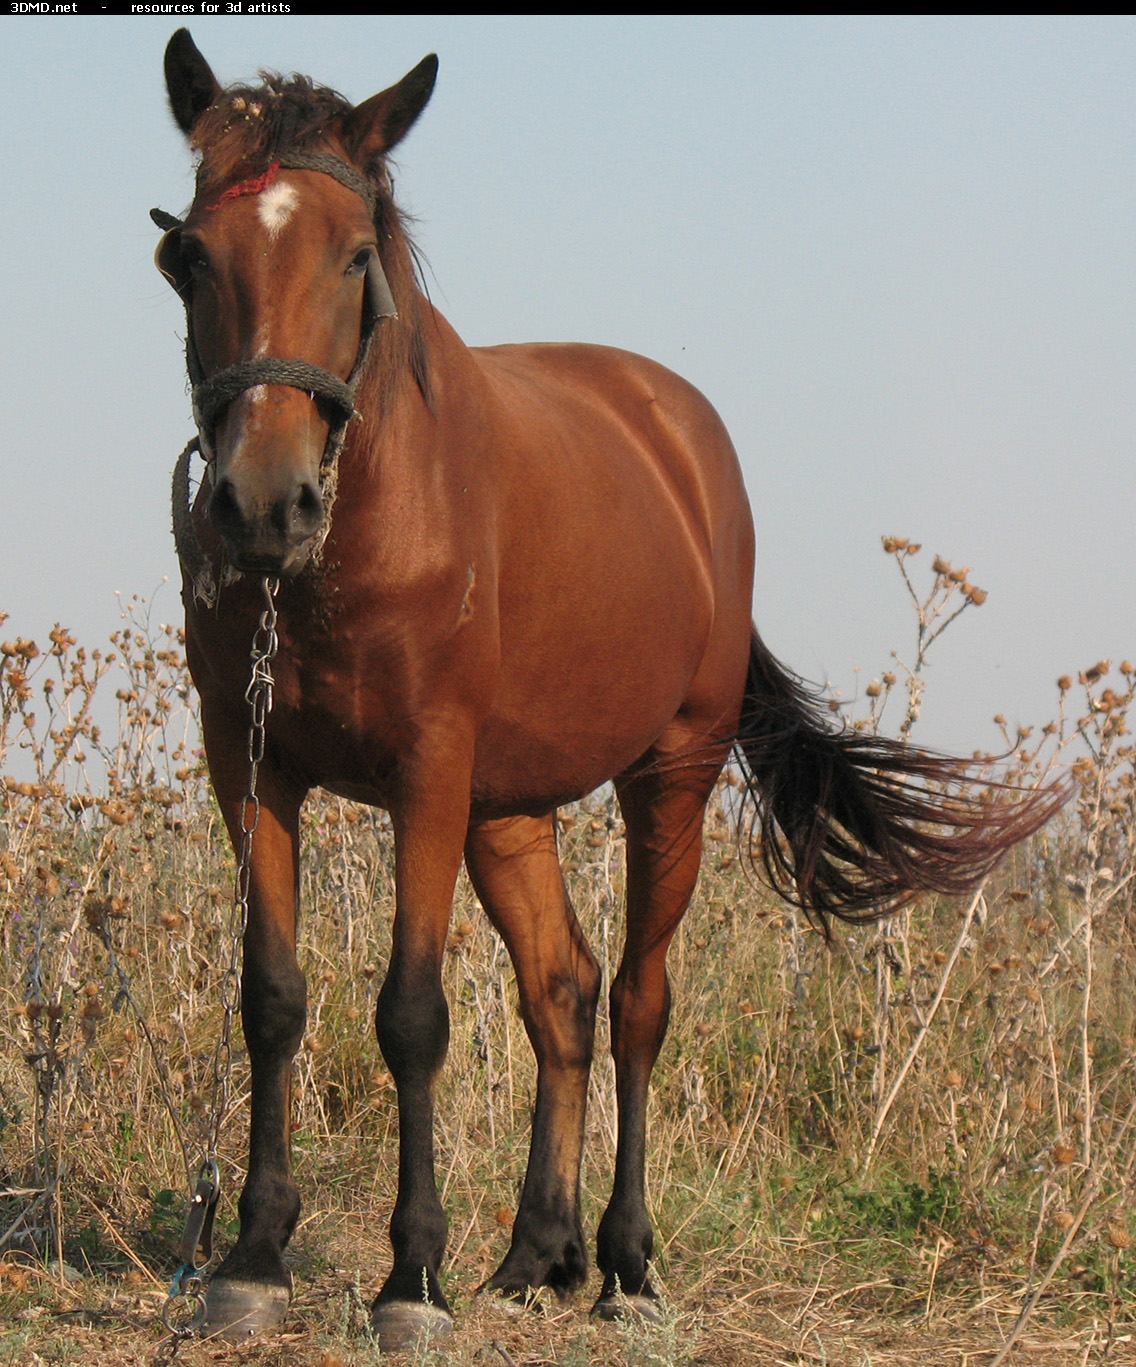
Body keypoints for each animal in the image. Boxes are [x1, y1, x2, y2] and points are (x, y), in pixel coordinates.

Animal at [155, 29, 1060, 1345]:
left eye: (356, 255)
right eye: (188, 256)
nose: (262, 507)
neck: (365, 527)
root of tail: (676, 434)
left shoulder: (427, 772)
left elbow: (411, 1014)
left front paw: (408, 1276)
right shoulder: (252, 760)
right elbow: (271, 995)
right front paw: (253, 1257)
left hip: (666, 775)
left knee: (635, 997)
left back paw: (626, 1259)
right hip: (506, 810)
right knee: (562, 992)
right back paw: (538, 1248)